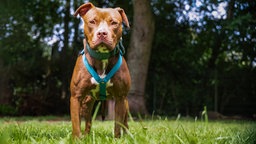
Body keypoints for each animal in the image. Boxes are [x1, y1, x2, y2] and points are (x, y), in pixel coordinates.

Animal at [69, 1, 130, 137]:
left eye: (114, 22)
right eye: (92, 21)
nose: (102, 33)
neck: (102, 56)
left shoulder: (120, 97)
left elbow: (118, 125)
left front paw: (117, 138)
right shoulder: (76, 97)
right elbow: (76, 124)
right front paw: (77, 138)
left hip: (125, 103)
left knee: (125, 122)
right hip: (87, 102)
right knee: (88, 121)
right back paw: (86, 136)